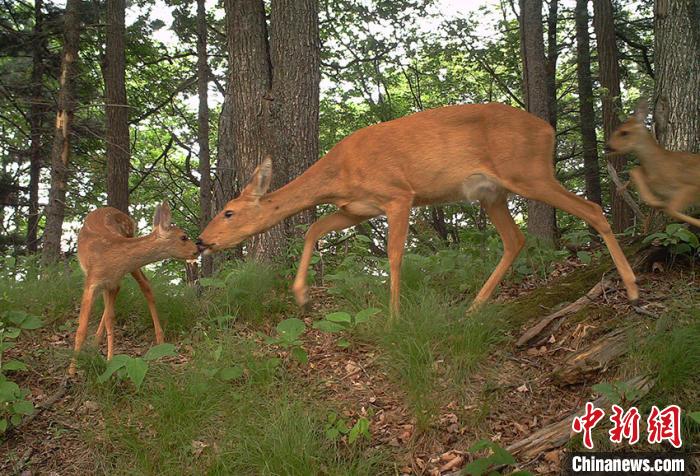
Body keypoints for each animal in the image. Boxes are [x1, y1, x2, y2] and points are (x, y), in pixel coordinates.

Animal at [68, 204, 198, 376]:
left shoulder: (112, 283)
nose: (197, 249)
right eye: (184, 237)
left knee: (145, 285)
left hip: (129, 261)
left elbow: (110, 319)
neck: (109, 258)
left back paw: (160, 339)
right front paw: (71, 370)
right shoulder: (92, 283)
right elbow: (82, 328)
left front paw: (109, 361)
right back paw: (95, 345)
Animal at [197, 103, 640, 316]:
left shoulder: (398, 194)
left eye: (229, 212)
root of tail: (547, 130)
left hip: (527, 171)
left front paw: (394, 316)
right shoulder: (357, 209)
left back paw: (633, 287)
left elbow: (395, 255)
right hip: (492, 193)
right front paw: (302, 296)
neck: (341, 171)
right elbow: (313, 229)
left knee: (592, 208)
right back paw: (474, 307)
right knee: (515, 239)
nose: (201, 240)